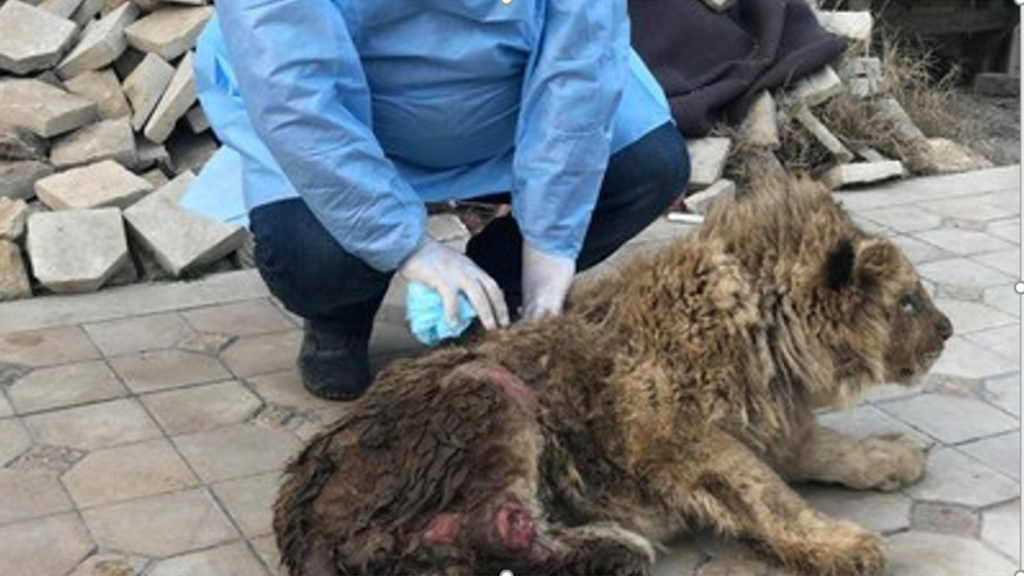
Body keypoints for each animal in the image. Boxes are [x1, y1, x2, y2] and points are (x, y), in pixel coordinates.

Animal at [272, 176, 952, 576]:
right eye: (908, 302)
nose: (948, 331)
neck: (764, 328)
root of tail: (301, 517)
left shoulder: (772, 424)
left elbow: (826, 449)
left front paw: (888, 457)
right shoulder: (673, 435)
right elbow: (766, 493)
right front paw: (839, 543)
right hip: (487, 388)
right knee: (502, 528)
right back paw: (617, 543)